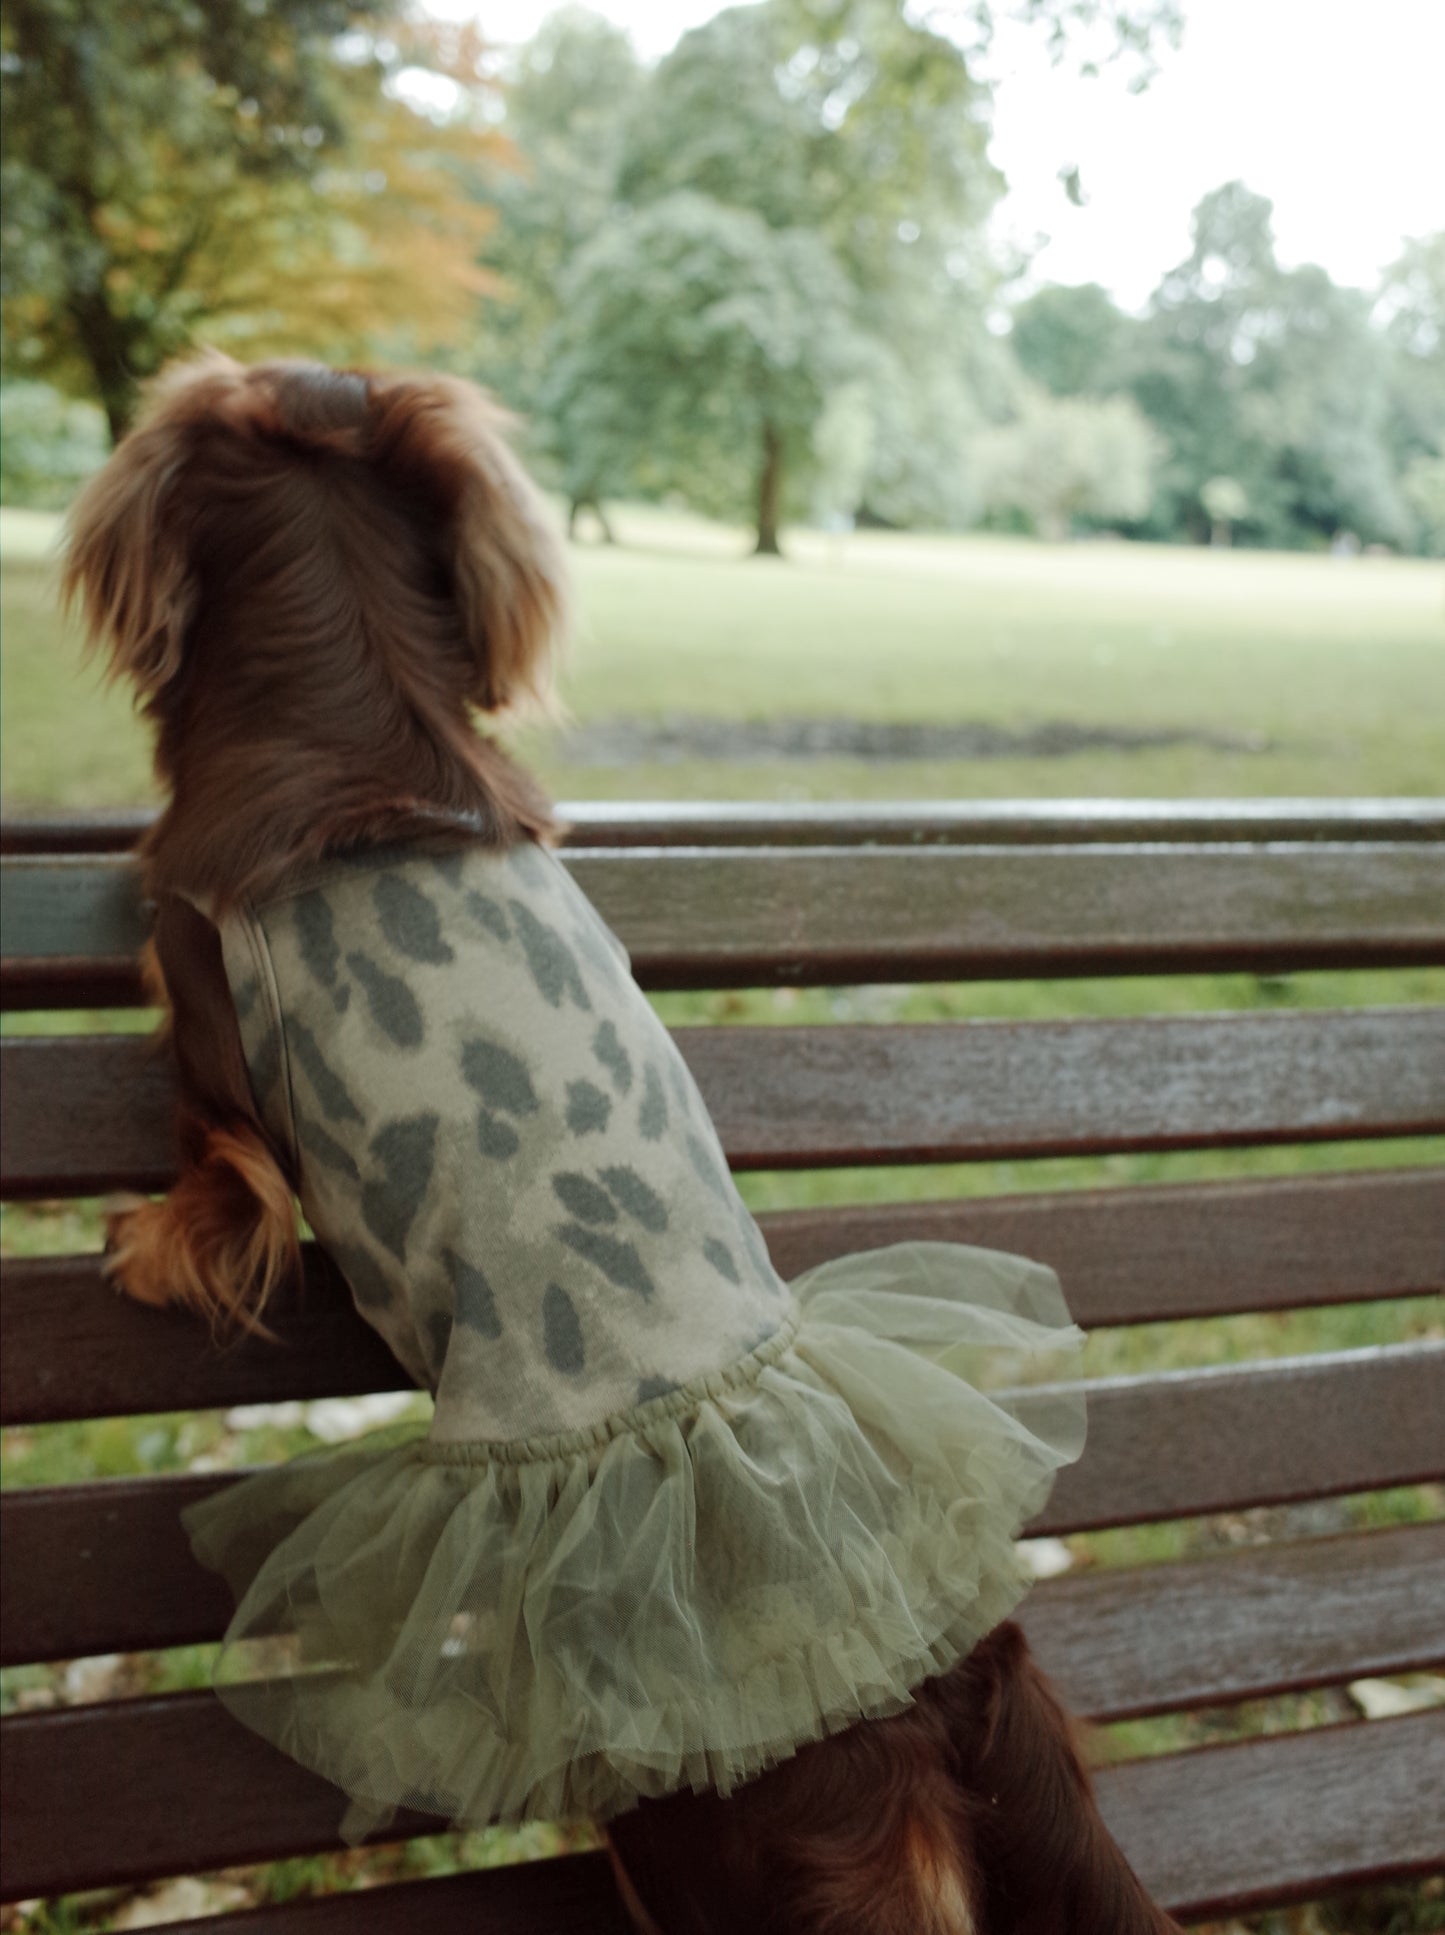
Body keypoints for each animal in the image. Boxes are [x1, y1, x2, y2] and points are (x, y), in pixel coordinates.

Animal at [62, 352, 1183, 1935]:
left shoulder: (206, 1028)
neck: (360, 717)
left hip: (678, 1824)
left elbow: (209, 1178)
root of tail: (928, 1700)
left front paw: (145, 1245)